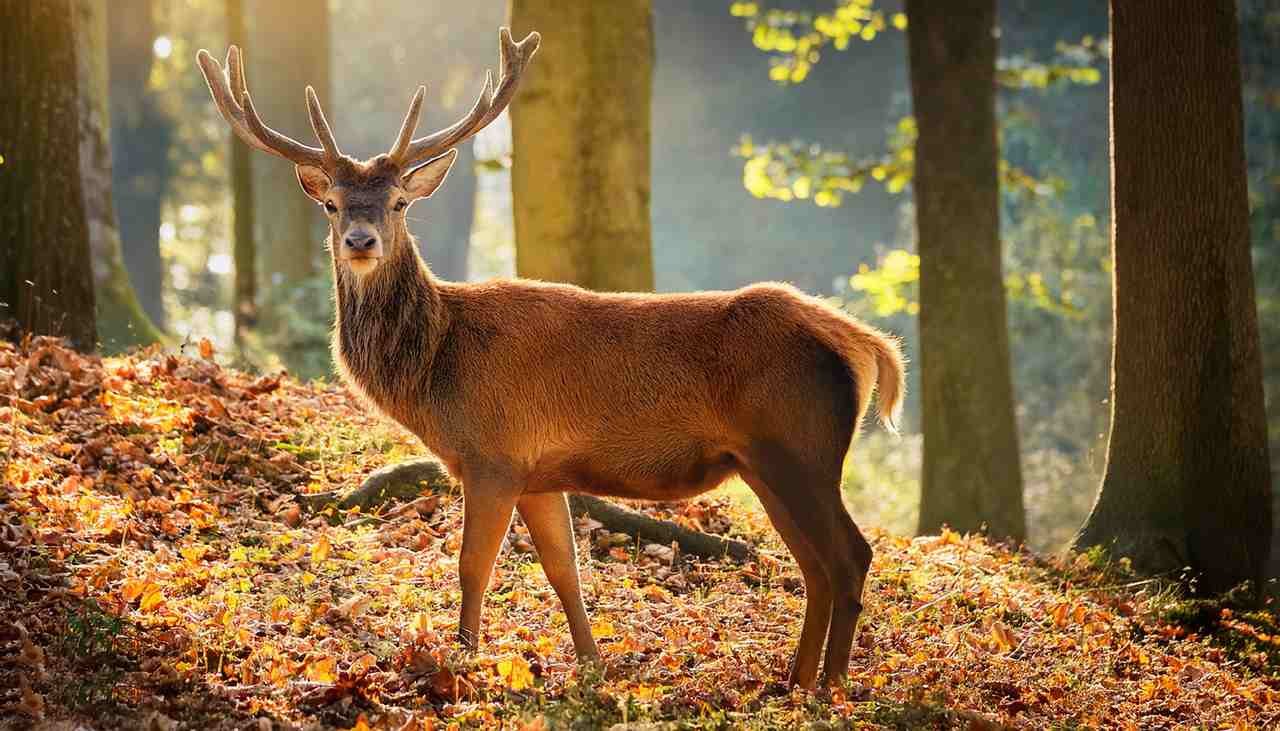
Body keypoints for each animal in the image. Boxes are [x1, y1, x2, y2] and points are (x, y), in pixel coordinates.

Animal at [196, 28, 905, 690]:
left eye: (398, 201)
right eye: (332, 203)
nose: (361, 239)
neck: (436, 368)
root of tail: (862, 341)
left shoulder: (494, 455)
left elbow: (473, 565)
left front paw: (463, 662)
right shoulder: (541, 473)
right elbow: (565, 570)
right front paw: (592, 665)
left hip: (801, 447)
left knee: (851, 556)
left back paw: (830, 688)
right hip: (765, 463)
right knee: (815, 565)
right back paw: (794, 681)